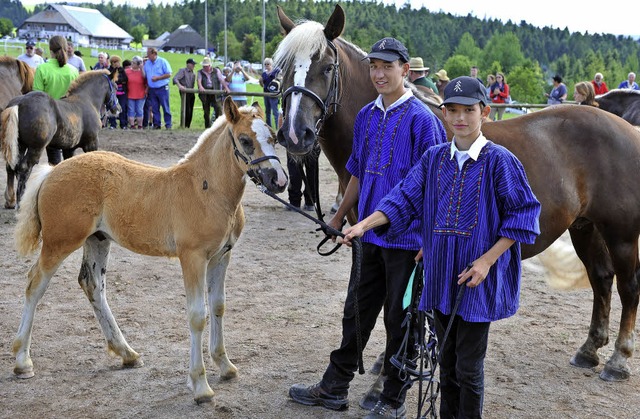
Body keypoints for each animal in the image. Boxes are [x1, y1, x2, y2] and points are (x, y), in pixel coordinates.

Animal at [0, 69, 120, 210]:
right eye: (116, 87)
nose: (118, 109)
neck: (87, 101)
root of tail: (20, 103)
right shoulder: (91, 144)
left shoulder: (69, 148)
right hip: (36, 147)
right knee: (24, 167)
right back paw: (20, 202)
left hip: (19, 145)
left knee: (10, 166)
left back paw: (10, 201)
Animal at [10, 97, 288, 406]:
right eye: (245, 140)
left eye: (273, 137)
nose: (279, 181)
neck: (205, 190)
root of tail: (51, 171)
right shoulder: (192, 258)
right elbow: (197, 315)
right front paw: (200, 386)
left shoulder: (221, 256)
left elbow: (218, 306)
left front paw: (225, 366)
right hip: (59, 242)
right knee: (35, 284)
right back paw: (22, 362)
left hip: (98, 240)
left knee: (92, 285)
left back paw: (127, 354)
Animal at [278, 3, 640, 386]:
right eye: (282, 69)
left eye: (326, 67)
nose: (295, 134)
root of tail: (628, 129)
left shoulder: (411, 250)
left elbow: (405, 309)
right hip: (586, 227)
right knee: (601, 278)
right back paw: (589, 350)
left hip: (621, 234)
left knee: (628, 287)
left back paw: (618, 359)